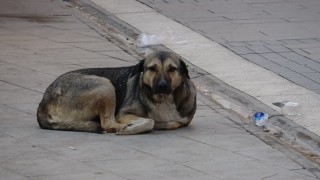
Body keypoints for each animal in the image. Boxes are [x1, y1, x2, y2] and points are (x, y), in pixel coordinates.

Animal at [37, 51, 198, 134]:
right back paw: (120, 128)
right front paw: (133, 127)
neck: (163, 99)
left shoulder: (182, 120)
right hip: (105, 84)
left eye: (172, 69)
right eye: (152, 68)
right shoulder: (123, 114)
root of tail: (43, 102)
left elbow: (172, 123)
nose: (162, 86)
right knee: (107, 124)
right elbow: (150, 121)